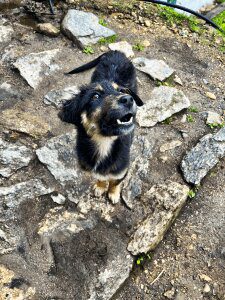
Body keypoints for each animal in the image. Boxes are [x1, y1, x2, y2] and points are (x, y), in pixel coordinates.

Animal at [59, 50, 143, 204]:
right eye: (95, 96)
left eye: (122, 91)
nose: (128, 99)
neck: (104, 143)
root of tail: (116, 51)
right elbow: (101, 178)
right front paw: (100, 187)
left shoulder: (122, 170)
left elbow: (115, 182)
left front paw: (113, 193)